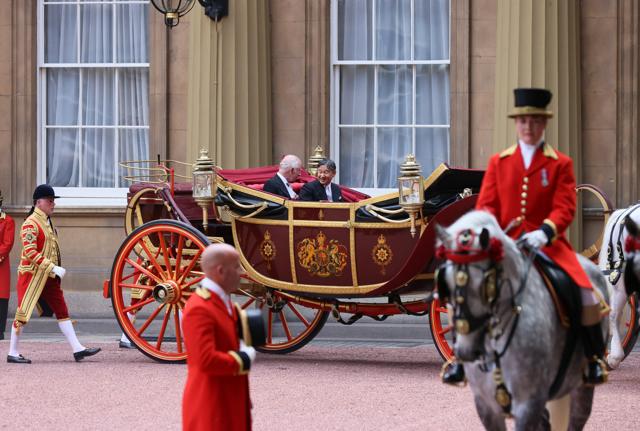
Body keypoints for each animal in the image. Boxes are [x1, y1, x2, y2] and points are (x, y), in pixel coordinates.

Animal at [438, 212, 608, 431]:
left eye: (486, 284)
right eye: (446, 283)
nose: (465, 352)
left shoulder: (528, 403)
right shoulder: (486, 405)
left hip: (581, 387)